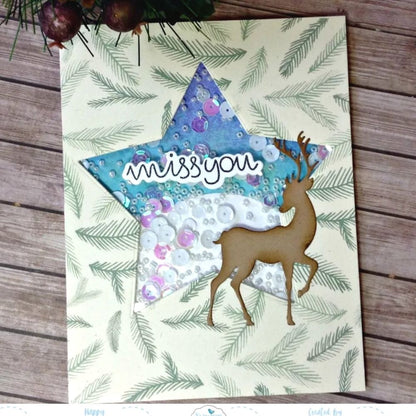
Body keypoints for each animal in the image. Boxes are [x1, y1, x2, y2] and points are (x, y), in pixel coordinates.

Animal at [207, 132, 319, 327]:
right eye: (284, 191)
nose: (281, 208)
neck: (299, 233)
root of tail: (222, 237)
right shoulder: (289, 257)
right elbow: (291, 283)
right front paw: (291, 318)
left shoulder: (295, 256)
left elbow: (313, 265)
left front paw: (299, 296)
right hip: (240, 261)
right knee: (227, 282)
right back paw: (225, 320)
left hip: (235, 261)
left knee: (224, 282)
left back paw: (231, 320)